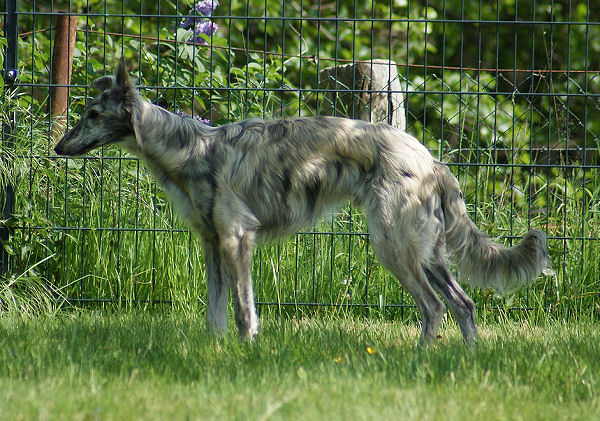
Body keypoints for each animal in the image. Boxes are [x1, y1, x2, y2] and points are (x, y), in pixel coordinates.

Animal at [55, 61, 548, 344]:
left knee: (434, 309)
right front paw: (215, 353)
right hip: (426, 253)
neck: (189, 148)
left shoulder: (237, 240)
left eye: (93, 114)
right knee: (463, 305)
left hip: (394, 248)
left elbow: (243, 311)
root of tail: (431, 160)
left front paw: (245, 352)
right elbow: (216, 313)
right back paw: (461, 360)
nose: (58, 147)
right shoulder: (212, 245)